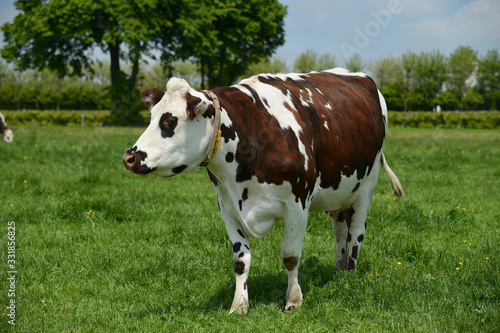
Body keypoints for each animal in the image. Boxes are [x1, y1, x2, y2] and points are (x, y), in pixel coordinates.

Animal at [123, 68, 404, 314]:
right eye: (151, 117)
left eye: (170, 120)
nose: (130, 157)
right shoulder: (227, 205)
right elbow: (240, 261)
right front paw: (239, 305)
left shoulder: (297, 203)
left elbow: (290, 256)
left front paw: (293, 300)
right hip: (339, 189)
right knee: (340, 228)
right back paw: (338, 270)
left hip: (367, 184)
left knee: (356, 231)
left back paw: (350, 275)